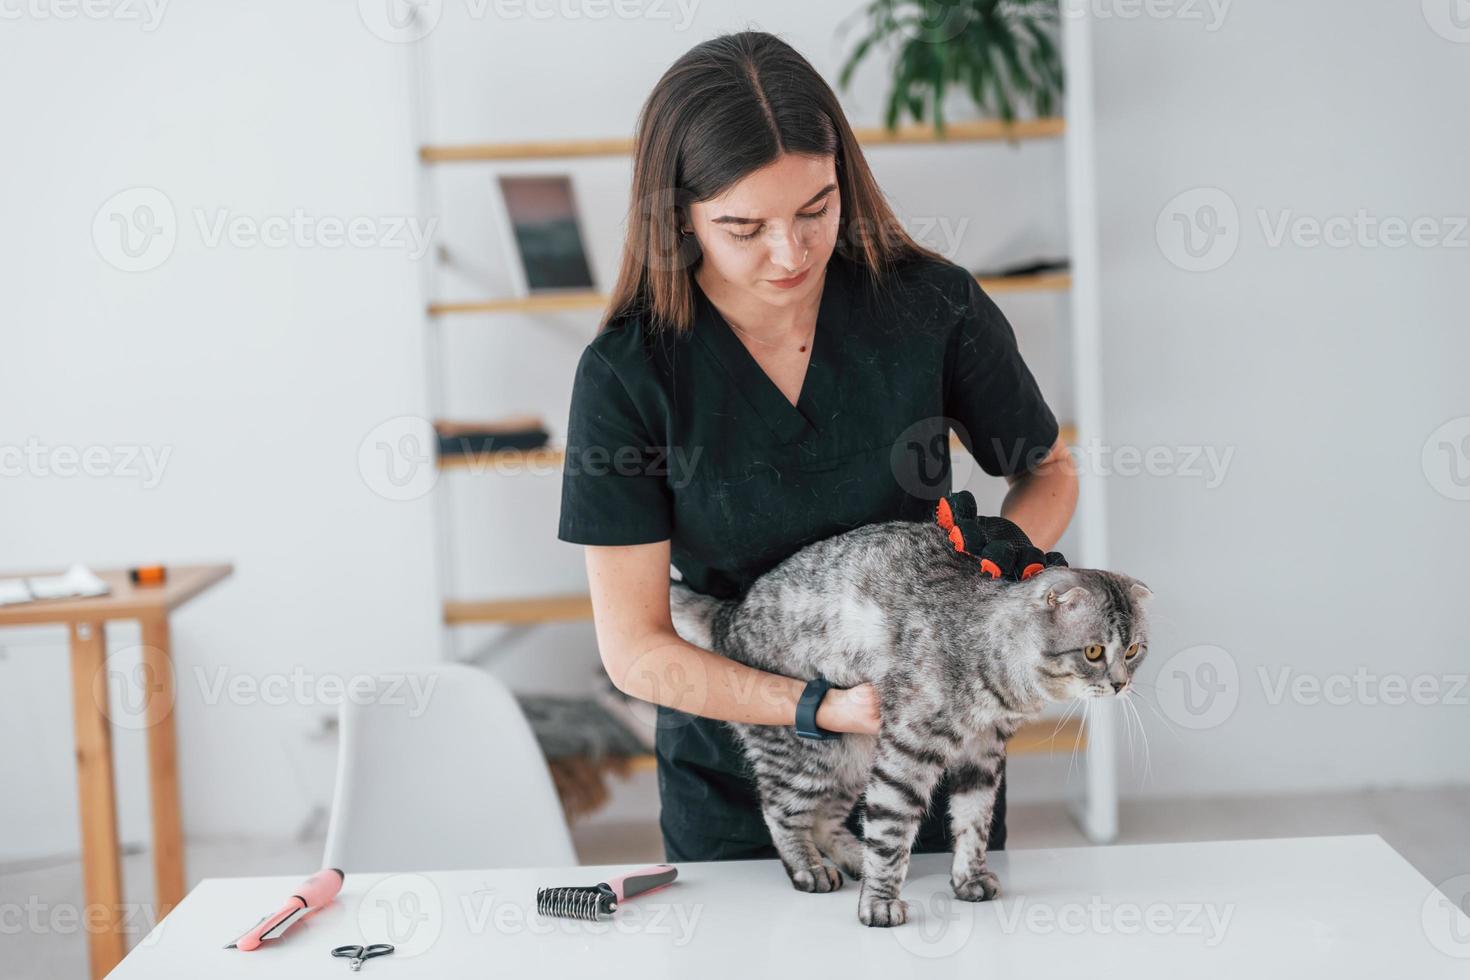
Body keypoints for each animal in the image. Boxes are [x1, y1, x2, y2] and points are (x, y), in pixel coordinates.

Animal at [673, 517, 1152, 934]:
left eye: (1133, 651)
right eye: (1093, 651)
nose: (1120, 684)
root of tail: (728, 615)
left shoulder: (982, 754)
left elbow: (973, 823)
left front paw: (968, 879)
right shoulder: (908, 752)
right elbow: (891, 832)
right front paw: (880, 902)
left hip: (855, 758)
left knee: (826, 820)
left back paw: (852, 857)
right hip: (808, 755)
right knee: (780, 812)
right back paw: (809, 868)